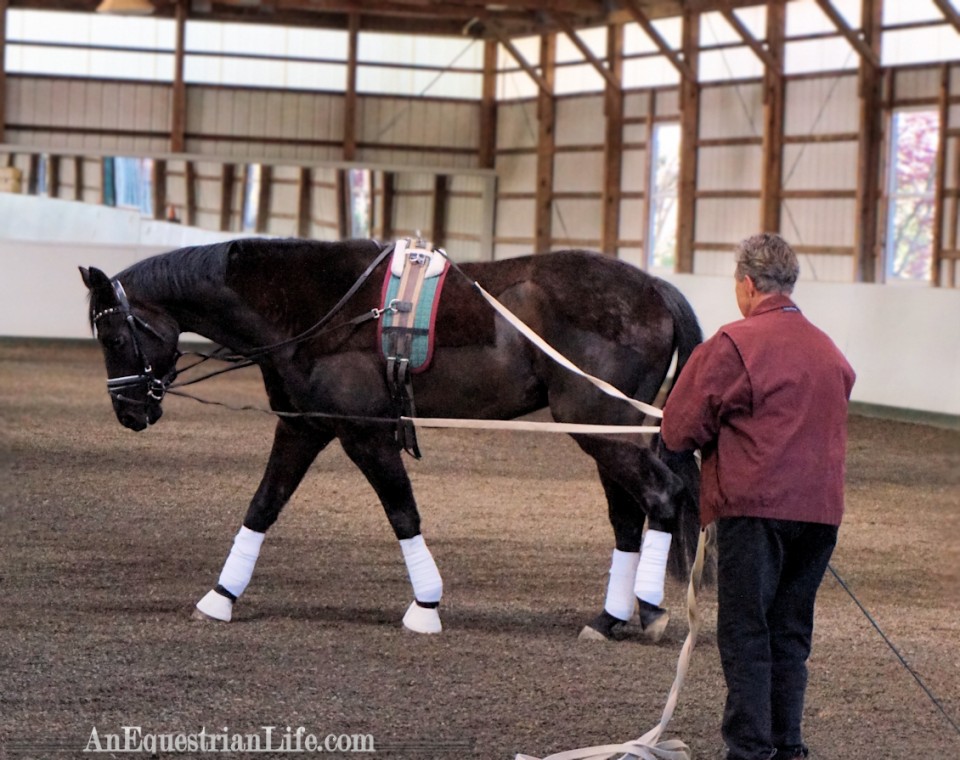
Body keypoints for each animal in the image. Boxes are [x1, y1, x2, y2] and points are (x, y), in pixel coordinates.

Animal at [80, 237, 703, 641]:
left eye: (113, 334)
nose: (129, 411)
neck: (314, 310)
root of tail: (652, 287)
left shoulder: (366, 436)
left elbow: (403, 512)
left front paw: (425, 606)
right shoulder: (303, 427)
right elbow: (262, 507)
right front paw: (221, 596)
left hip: (599, 425)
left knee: (663, 496)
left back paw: (649, 608)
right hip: (605, 431)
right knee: (628, 516)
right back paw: (611, 618)